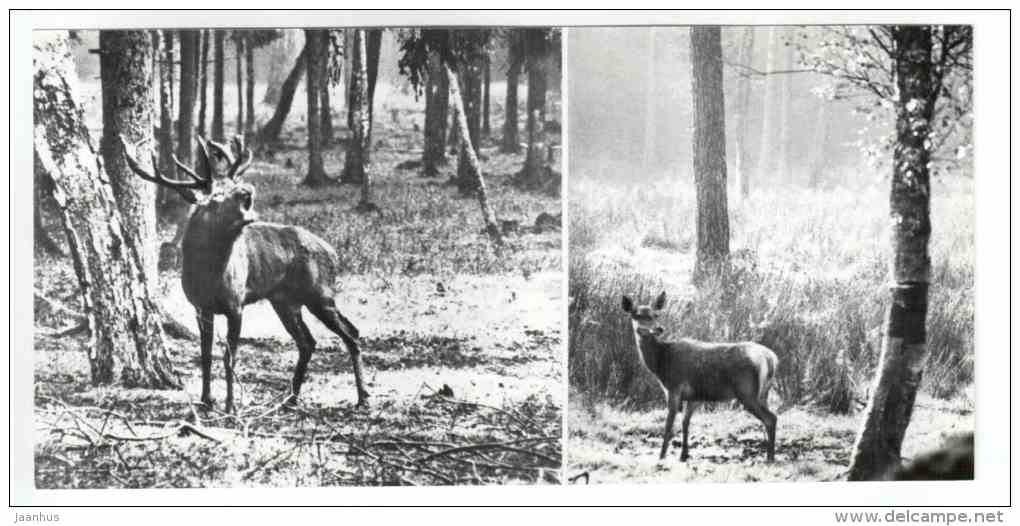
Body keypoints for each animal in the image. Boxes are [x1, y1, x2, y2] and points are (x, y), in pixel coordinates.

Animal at [120, 134, 369, 414]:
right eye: (215, 196)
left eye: (235, 183)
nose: (247, 189)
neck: (208, 276)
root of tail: (334, 253)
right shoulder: (200, 307)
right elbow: (205, 355)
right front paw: (206, 400)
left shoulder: (235, 304)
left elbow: (231, 356)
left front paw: (231, 406)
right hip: (285, 301)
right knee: (308, 341)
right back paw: (291, 398)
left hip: (320, 293)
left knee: (351, 333)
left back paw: (363, 397)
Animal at [621, 291, 778, 462]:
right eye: (636, 315)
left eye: (655, 314)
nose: (658, 329)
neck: (661, 363)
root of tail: (771, 358)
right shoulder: (694, 396)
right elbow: (685, 423)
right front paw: (684, 455)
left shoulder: (674, 388)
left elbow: (669, 426)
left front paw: (661, 456)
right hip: (763, 393)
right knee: (771, 418)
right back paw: (770, 455)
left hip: (747, 392)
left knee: (771, 419)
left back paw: (770, 458)